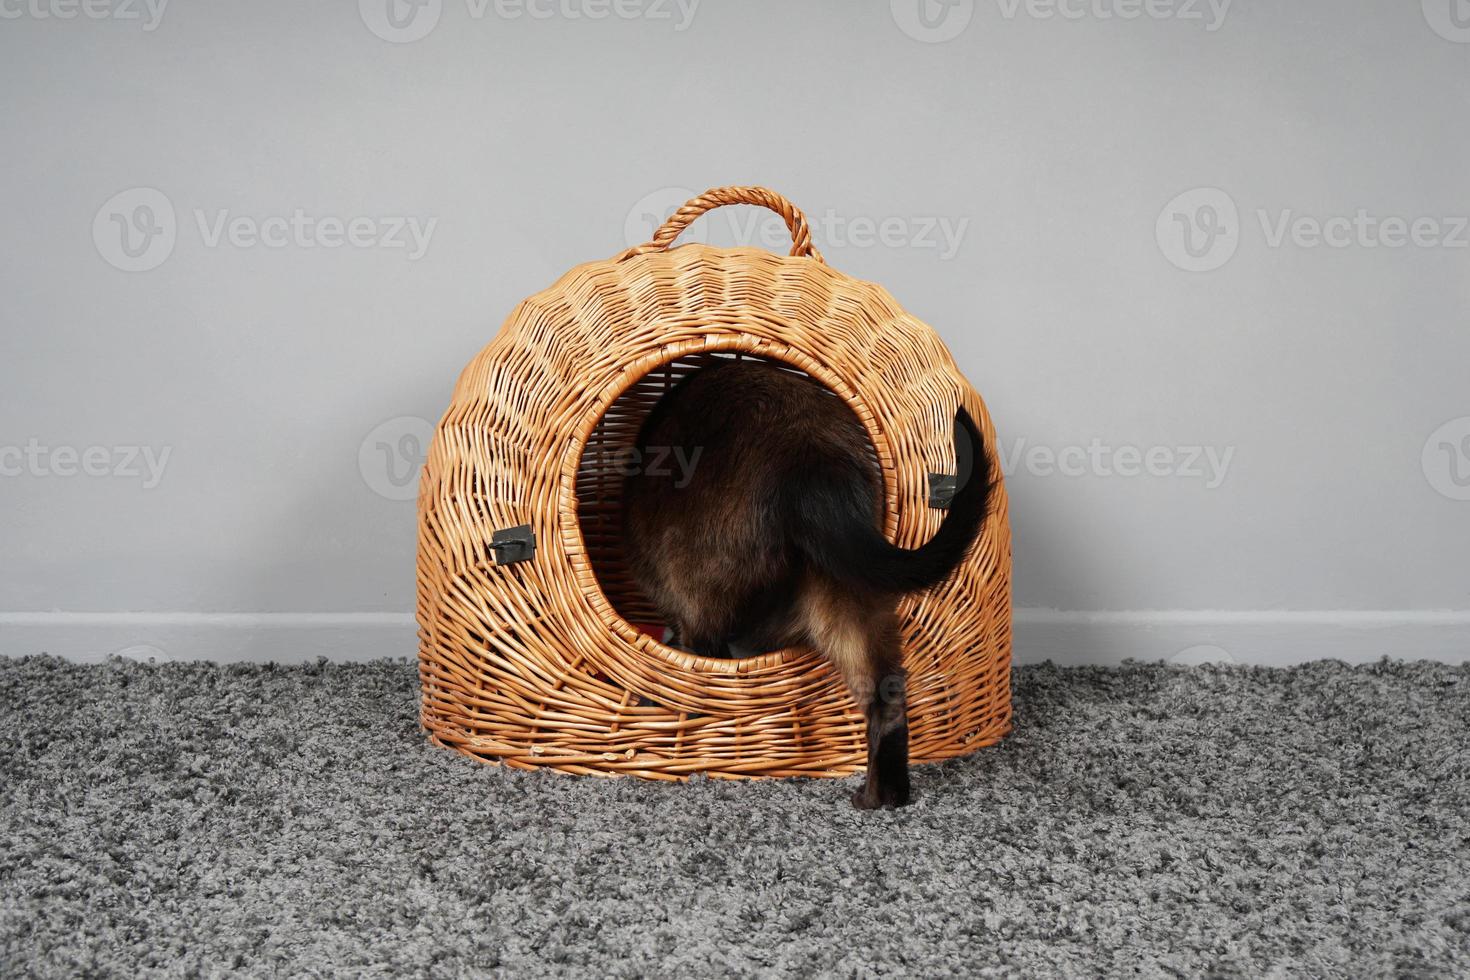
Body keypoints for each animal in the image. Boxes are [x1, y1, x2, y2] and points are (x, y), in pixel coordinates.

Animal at [620, 357, 987, 811]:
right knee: (886, 694)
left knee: (709, 660)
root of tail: (812, 460)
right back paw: (879, 799)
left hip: (696, 585)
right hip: (846, 593)